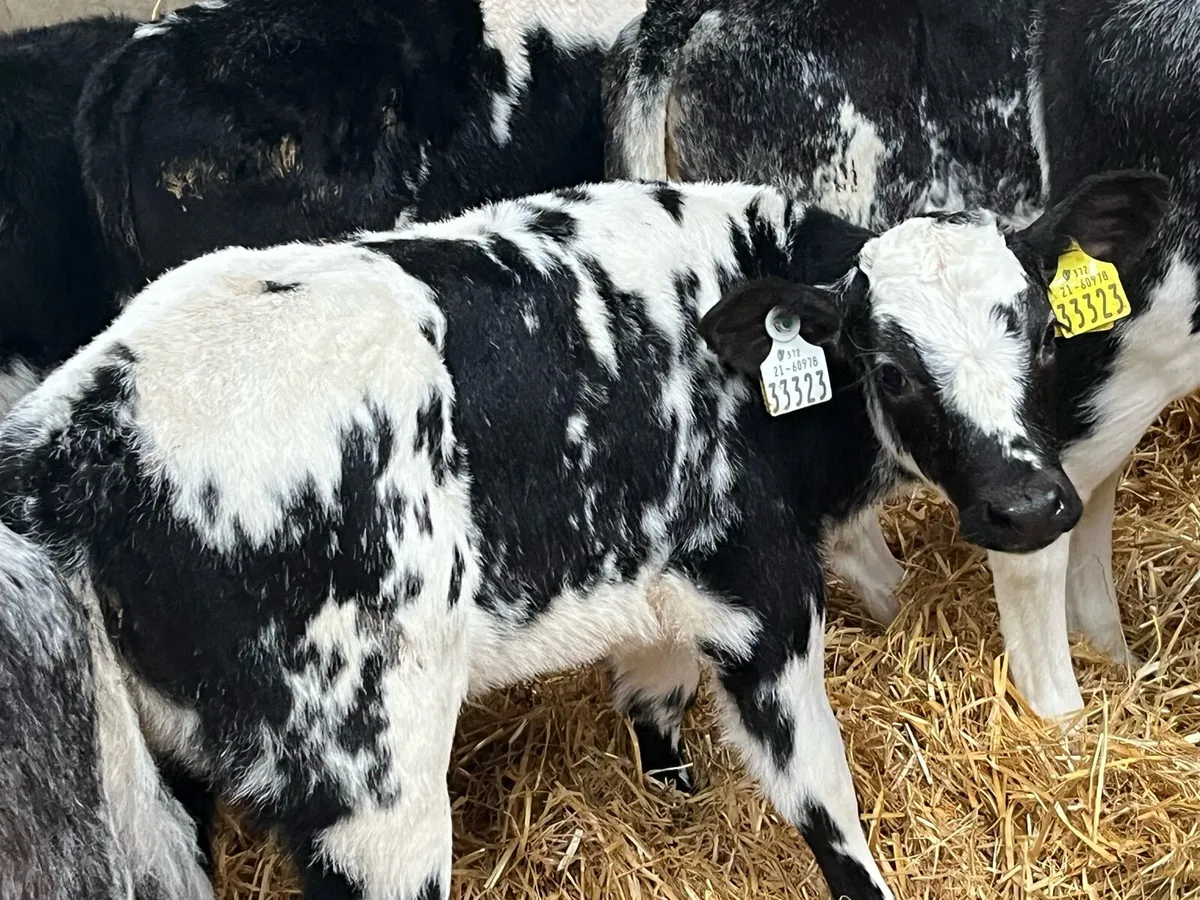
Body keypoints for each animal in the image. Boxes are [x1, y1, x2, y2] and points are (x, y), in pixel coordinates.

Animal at [0, 173, 1163, 899]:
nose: (1029, 505)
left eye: (1046, 332)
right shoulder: (764, 604)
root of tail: (70, 430)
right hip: (370, 783)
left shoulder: (655, 586)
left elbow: (653, 714)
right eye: (890, 367)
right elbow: (829, 813)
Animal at [601, 0, 1198, 727]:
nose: (1026, 506)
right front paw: (1068, 721)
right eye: (891, 371)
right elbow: (1044, 562)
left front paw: (1117, 665)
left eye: (1048, 335)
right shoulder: (1122, 362)